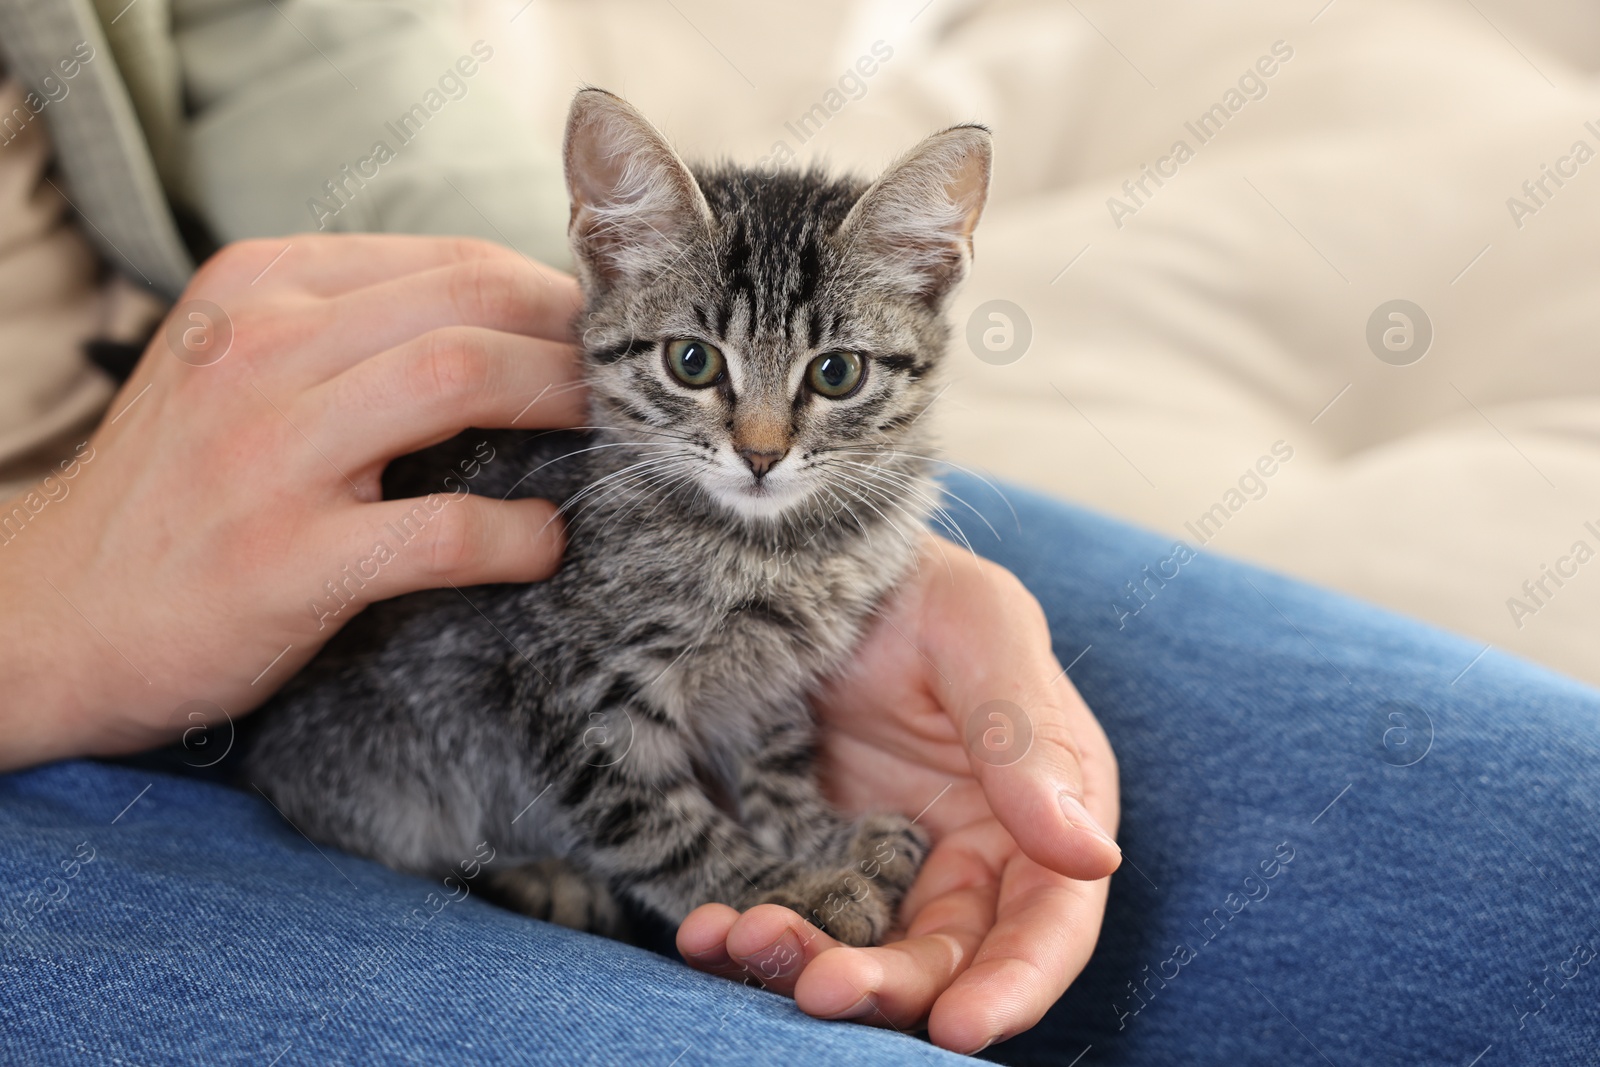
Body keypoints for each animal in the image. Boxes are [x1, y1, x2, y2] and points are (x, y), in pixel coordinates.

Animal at [246, 87, 985, 947]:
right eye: (692, 361)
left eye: (837, 372)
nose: (761, 454)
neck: (772, 549)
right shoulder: (569, 690)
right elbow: (663, 826)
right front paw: (784, 889)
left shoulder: (766, 681)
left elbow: (776, 761)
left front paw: (819, 837)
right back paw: (541, 875)